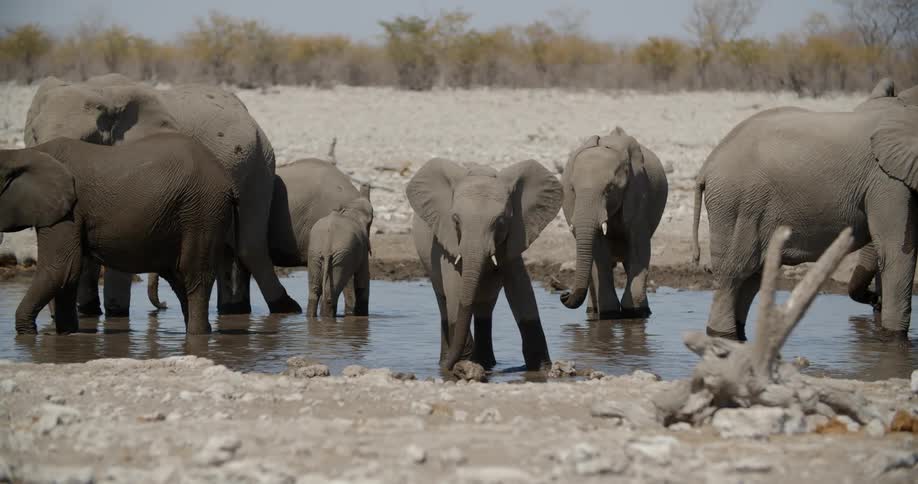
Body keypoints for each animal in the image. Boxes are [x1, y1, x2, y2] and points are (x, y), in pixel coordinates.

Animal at [0, 134, 235, 335]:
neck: (23, 154)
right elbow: (69, 273)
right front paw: (67, 334)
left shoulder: (68, 212)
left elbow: (59, 268)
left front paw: (27, 335)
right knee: (178, 278)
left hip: (203, 211)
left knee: (193, 274)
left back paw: (197, 335)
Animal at [24, 74, 299, 318]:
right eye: (34, 136)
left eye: (86, 139)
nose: (164, 305)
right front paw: (89, 313)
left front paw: (115, 314)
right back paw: (234, 310)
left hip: (259, 164)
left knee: (249, 245)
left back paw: (286, 307)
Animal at [407, 158, 562, 371]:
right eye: (455, 220)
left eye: (500, 221)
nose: (448, 366)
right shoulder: (446, 242)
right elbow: (456, 291)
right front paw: (460, 365)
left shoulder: (515, 236)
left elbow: (521, 289)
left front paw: (541, 369)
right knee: (444, 302)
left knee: (485, 306)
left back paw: (485, 363)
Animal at [558, 127, 668, 318]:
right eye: (572, 189)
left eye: (609, 189)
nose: (563, 294)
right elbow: (599, 252)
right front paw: (609, 313)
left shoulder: (638, 192)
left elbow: (639, 248)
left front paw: (635, 312)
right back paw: (593, 311)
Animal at [691, 91, 918, 341]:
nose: (875, 300)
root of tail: (707, 166)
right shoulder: (888, 181)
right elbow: (896, 252)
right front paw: (895, 341)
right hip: (736, 204)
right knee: (735, 272)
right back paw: (723, 336)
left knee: (752, 275)